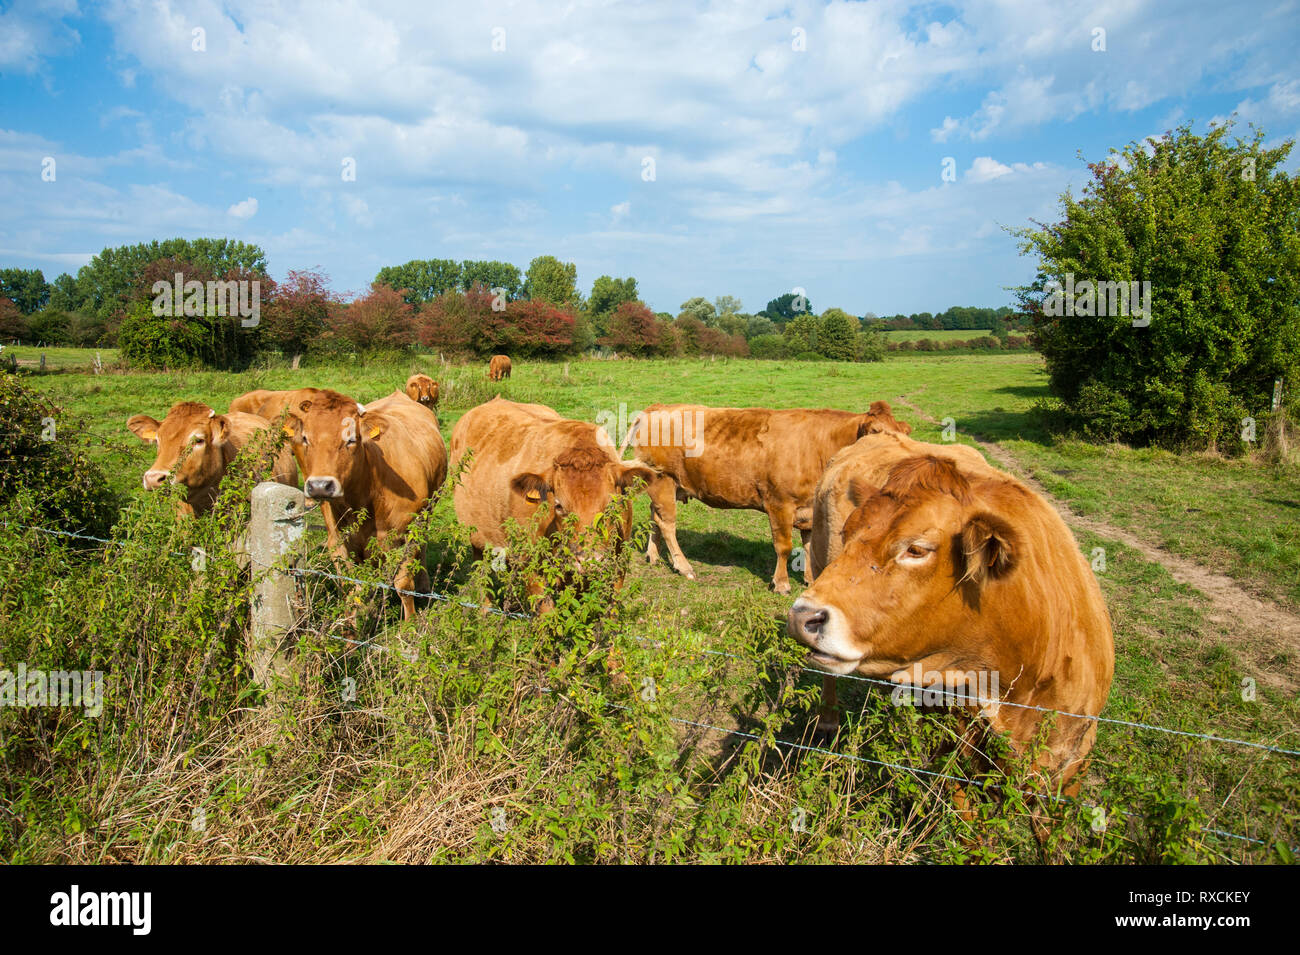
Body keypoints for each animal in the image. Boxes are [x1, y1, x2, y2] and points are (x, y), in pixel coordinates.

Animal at [282, 389, 448, 620]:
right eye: (305, 438)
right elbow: (352, 587)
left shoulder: (407, 536)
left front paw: (410, 623)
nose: (320, 486)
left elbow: (404, 584)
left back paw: (424, 586)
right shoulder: (337, 542)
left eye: (351, 439)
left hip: (429, 509)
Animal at [449, 397, 664, 607]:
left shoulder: (618, 565)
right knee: (481, 570)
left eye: (612, 505)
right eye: (559, 506)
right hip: (476, 536)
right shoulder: (532, 568)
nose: (589, 560)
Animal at [621, 402, 912, 593]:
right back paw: (683, 566)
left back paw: (653, 555)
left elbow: (808, 545)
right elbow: (783, 547)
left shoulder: (809, 510)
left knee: (654, 516)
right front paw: (781, 583)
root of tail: (656, 408)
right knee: (667, 523)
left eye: (905, 435)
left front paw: (810, 579)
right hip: (664, 479)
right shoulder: (780, 504)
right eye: (878, 434)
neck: (820, 446)